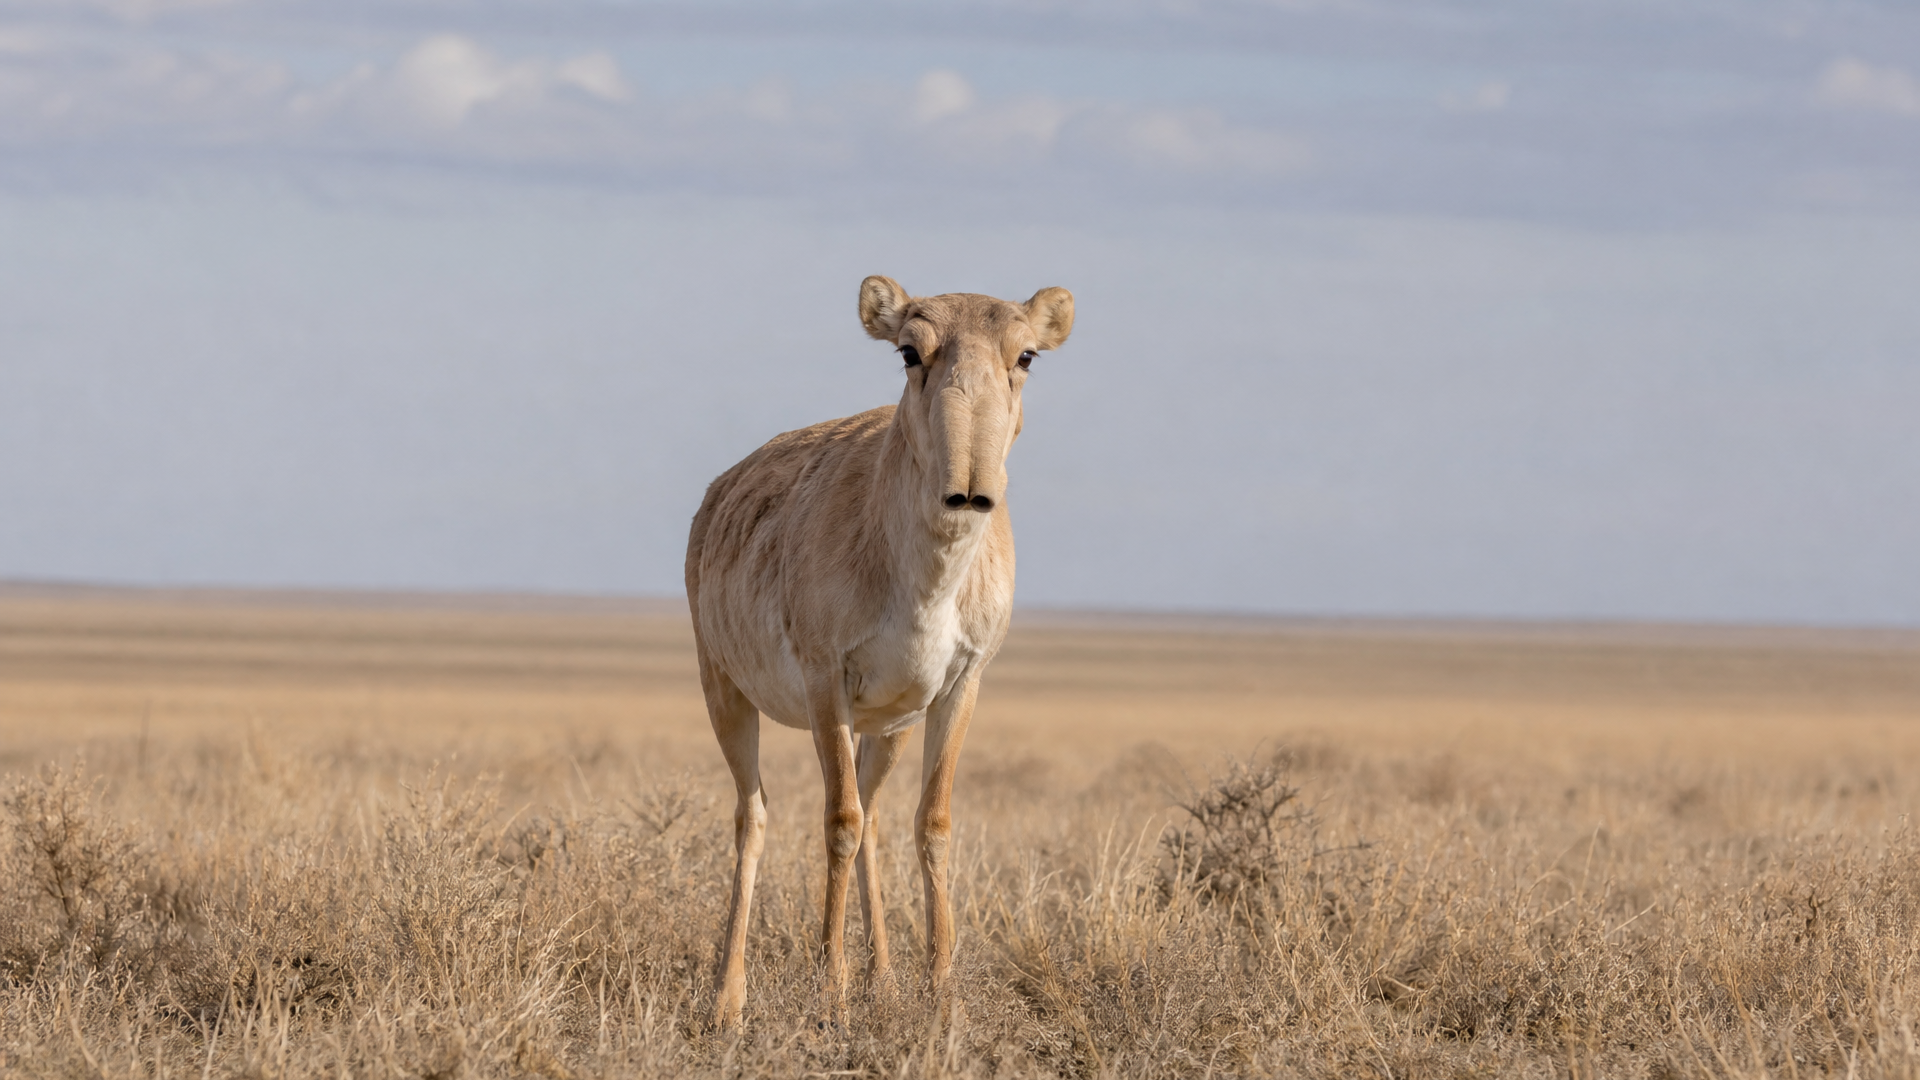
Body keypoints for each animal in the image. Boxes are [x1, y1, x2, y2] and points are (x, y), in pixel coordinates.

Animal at [685, 276, 1074, 1029]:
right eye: (908, 351)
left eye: (1027, 355)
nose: (969, 490)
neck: (924, 580)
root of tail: (715, 494)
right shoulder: (823, 681)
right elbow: (837, 820)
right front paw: (831, 990)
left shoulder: (959, 687)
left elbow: (933, 823)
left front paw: (940, 991)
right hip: (724, 692)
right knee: (756, 814)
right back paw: (727, 997)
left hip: (887, 726)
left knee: (871, 817)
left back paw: (885, 981)